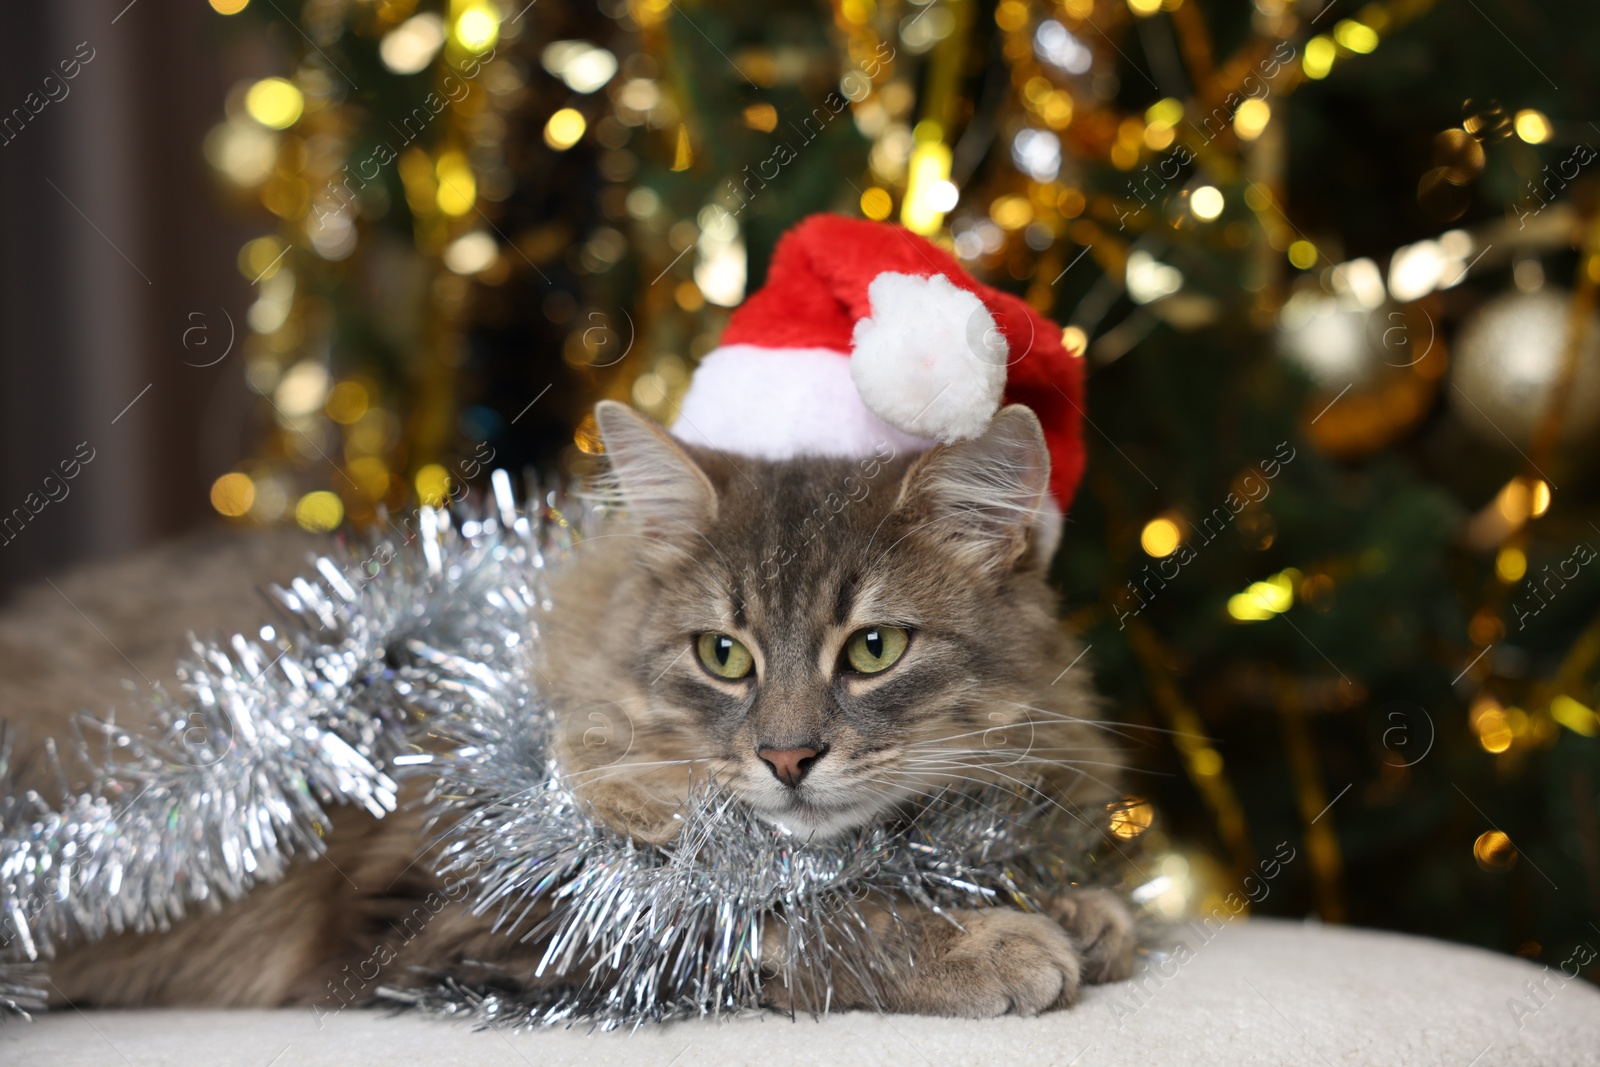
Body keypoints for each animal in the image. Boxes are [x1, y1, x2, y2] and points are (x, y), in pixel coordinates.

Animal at [15, 398, 1139, 1017]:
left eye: (873, 649)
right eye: (722, 655)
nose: (787, 757)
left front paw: (1073, 902)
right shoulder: (454, 912)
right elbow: (771, 910)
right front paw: (977, 941)